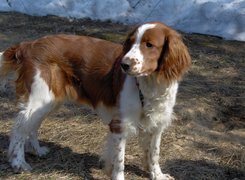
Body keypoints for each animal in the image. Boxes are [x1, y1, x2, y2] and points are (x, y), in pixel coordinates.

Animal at [0, 21, 191, 179]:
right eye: (130, 43)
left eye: (149, 45)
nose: (124, 65)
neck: (150, 85)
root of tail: (28, 45)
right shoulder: (120, 124)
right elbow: (119, 162)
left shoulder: (157, 122)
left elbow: (154, 153)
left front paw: (157, 175)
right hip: (39, 98)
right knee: (18, 129)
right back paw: (18, 163)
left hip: (49, 100)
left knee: (32, 126)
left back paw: (37, 150)